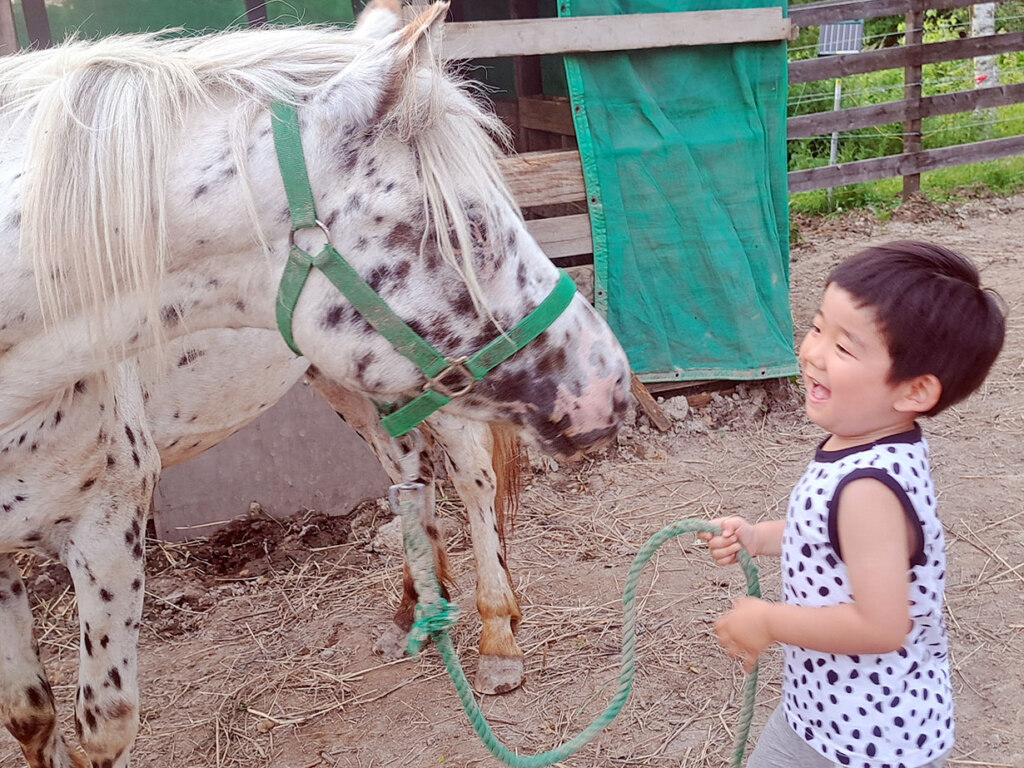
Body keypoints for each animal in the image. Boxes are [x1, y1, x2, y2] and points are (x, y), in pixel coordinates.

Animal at [0, 2, 631, 765]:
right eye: (470, 227)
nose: (609, 381)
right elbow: (30, 716)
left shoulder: (106, 527)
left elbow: (102, 727)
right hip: (348, 385)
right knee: (406, 472)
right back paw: (415, 611)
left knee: (474, 479)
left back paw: (497, 640)